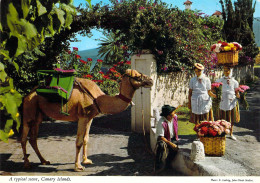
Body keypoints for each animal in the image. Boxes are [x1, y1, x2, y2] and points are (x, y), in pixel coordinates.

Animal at [22, 68, 153, 172]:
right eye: (137, 76)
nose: (151, 80)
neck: (98, 99)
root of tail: (28, 94)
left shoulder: (90, 118)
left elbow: (86, 139)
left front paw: (86, 160)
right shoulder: (82, 117)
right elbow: (79, 142)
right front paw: (78, 166)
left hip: (38, 116)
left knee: (33, 139)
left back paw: (44, 161)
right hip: (28, 112)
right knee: (24, 139)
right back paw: (27, 164)